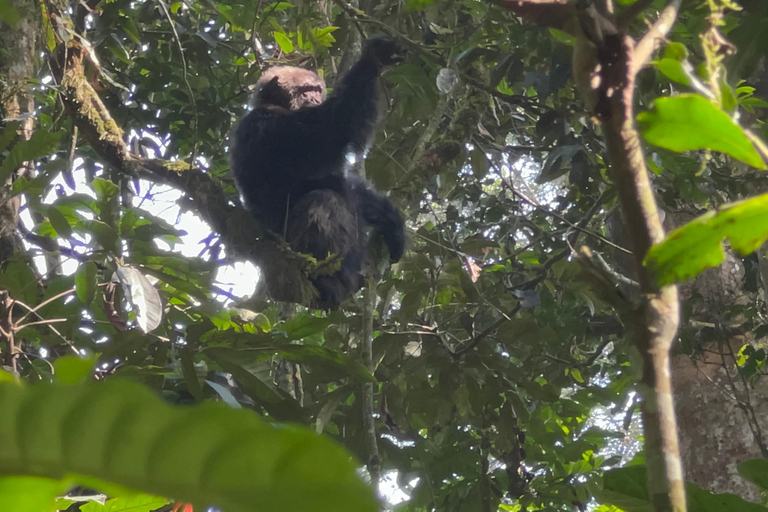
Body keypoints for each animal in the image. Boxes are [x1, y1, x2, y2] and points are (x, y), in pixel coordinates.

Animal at [230, 37, 404, 308]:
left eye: (316, 89)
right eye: (304, 90)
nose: (314, 98)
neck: (277, 106)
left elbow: (347, 186)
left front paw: (392, 222)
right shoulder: (275, 129)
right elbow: (335, 127)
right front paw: (373, 57)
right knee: (322, 202)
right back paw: (326, 281)